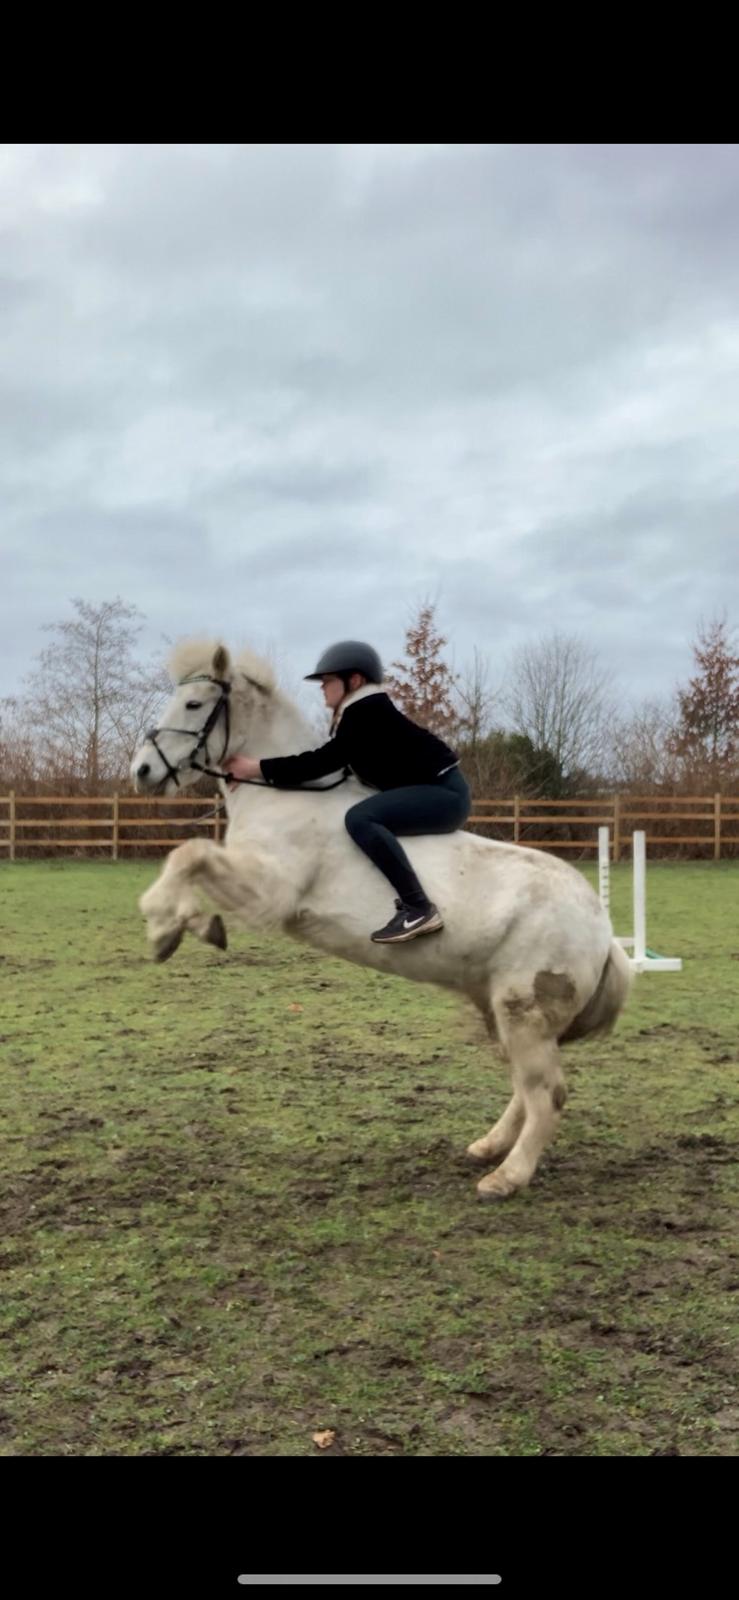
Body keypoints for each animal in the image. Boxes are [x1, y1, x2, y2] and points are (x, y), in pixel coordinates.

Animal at [131, 643, 630, 1196]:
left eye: (194, 704)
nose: (142, 771)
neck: (282, 796)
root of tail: (603, 931)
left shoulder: (269, 894)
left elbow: (189, 854)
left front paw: (167, 928)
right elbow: (188, 857)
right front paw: (182, 926)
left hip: (526, 1014)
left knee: (546, 1094)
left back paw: (506, 1177)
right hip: (503, 1011)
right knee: (526, 1089)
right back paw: (487, 1148)